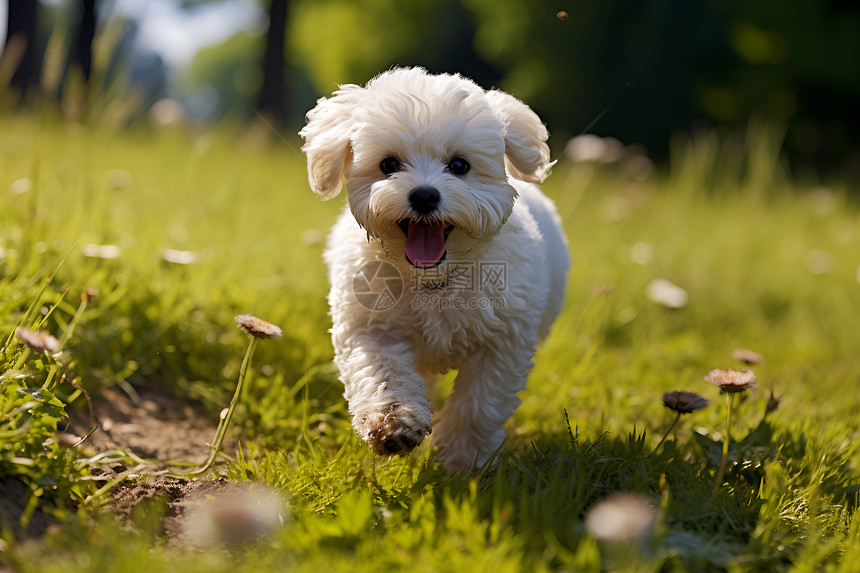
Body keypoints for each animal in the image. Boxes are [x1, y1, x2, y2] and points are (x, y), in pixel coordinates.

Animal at [298, 68, 568, 470]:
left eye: (459, 166)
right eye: (388, 165)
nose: (424, 195)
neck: (432, 278)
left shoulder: (502, 344)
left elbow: (478, 406)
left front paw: (462, 462)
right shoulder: (370, 327)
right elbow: (383, 373)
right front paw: (393, 425)